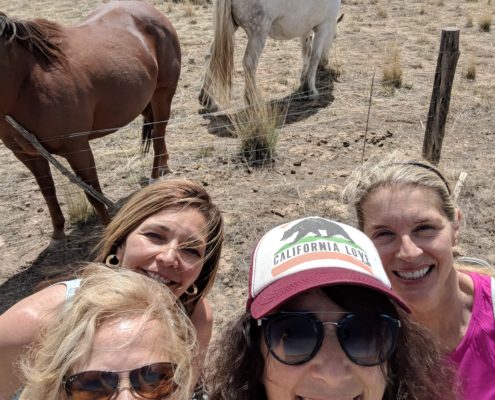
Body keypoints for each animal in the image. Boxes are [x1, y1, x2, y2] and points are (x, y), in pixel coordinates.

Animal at [0, 1, 181, 239]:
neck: (27, 81)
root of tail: (155, 13)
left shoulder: (76, 147)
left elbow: (92, 193)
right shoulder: (27, 154)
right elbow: (47, 190)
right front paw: (58, 231)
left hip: (163, 94)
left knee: (159, 134)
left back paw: (155, 179)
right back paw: (164, 168)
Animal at [200, 0, 342, 111]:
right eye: (335, 37)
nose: (325, 63)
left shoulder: (305, 28)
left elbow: (306, 53)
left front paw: (303, 80)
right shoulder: (324, 26)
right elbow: (314, 57)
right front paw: (310, 91)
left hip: (230, 27)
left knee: (211, 57)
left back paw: (207, 100)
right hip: (258, 34)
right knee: (249, 64)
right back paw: (253, 100)